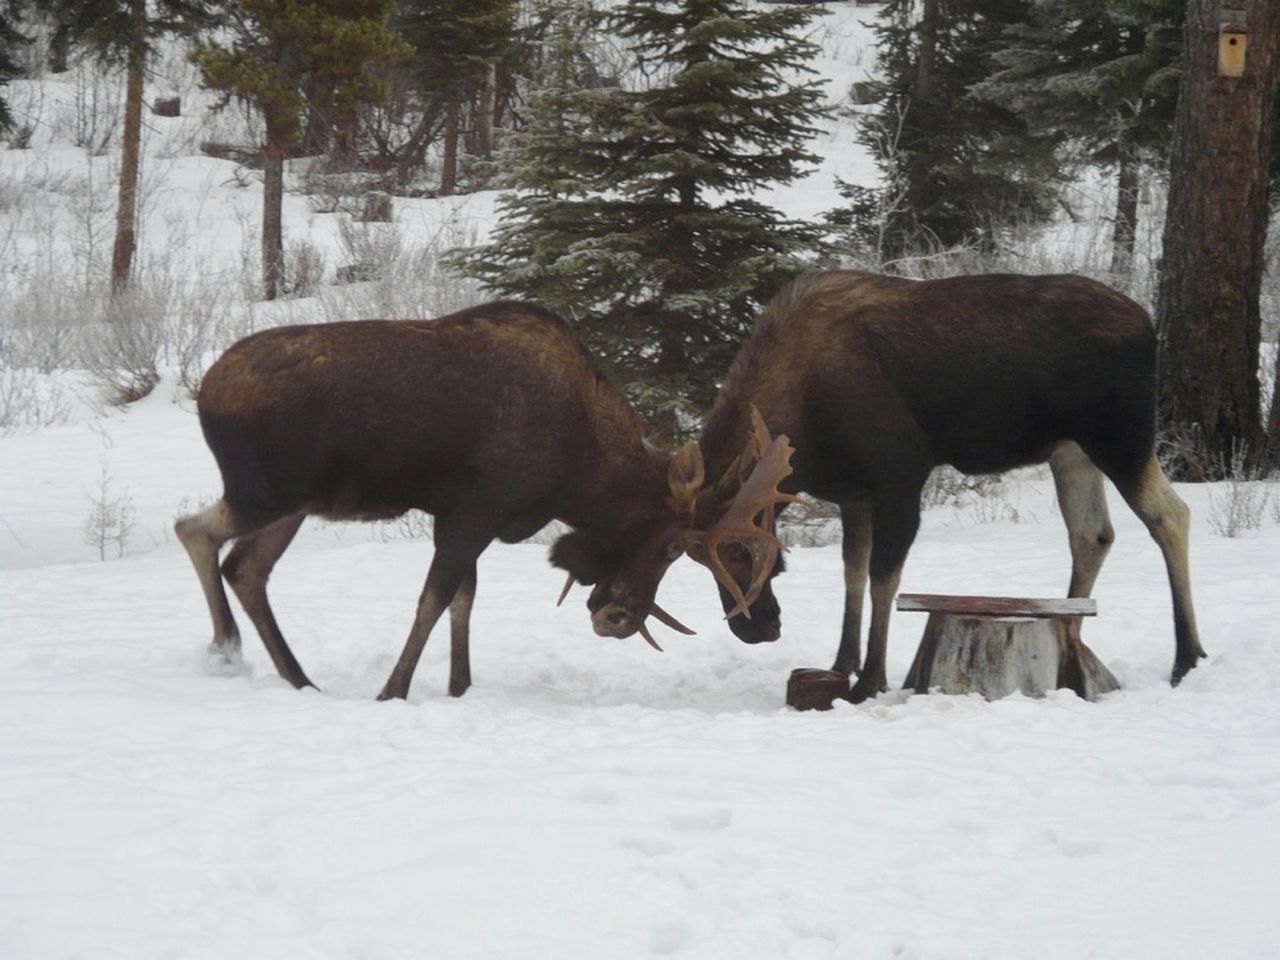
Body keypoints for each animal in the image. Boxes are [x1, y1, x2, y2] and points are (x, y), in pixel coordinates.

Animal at [175, 300, 793, 701]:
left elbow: (462, 600)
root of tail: (205, 392)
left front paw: (459, 687)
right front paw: (393, 691)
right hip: (267, 491)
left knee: (246, 567)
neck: (576, 470)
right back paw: (226, 649)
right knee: (193, 530)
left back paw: (299, 679)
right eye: (670, 547)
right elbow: (434, 598)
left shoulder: (461, 515)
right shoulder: (475, 510)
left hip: (297, 502)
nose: (618, 618)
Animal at [581, 271, 1198, 706]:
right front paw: (841, 663)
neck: (804, 424)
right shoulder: (853, 492)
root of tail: (1149, 324)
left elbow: (885, 579)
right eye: (695, 558)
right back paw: (1070, 644)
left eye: (740, 548)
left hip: (1121, 434)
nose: (757, 629)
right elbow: (853, 573)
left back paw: (1186, 659)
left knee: (1170, 514)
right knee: (1092, 532)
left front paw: (871, 678)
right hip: (1068, 447)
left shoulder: (900, 475)